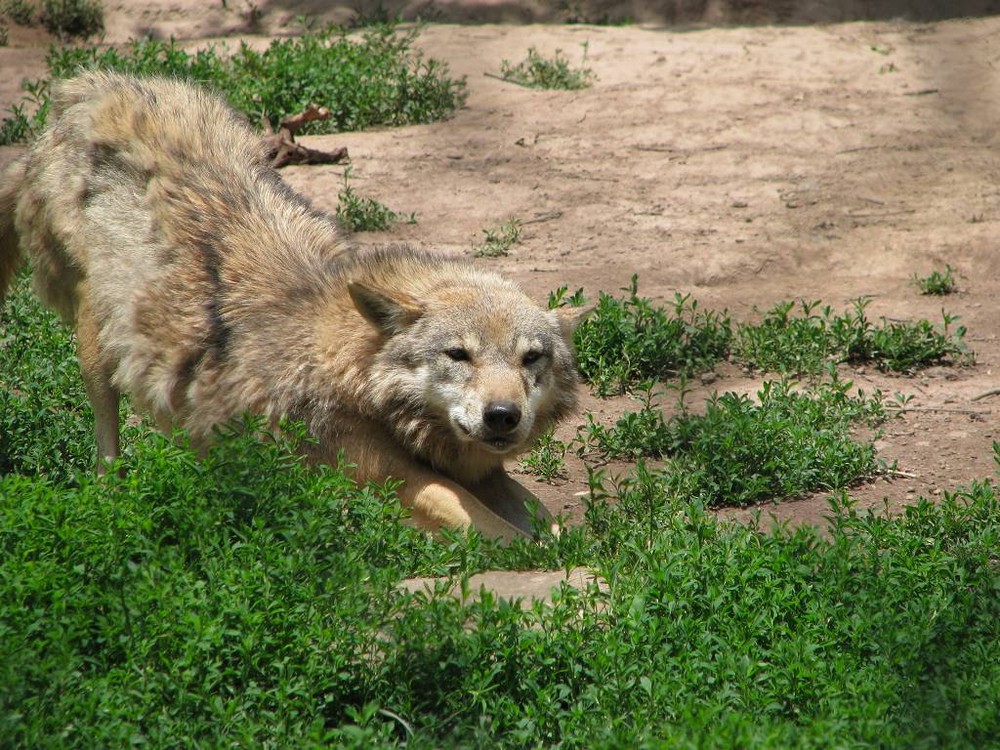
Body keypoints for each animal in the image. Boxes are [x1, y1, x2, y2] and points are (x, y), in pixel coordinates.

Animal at [0, 72, 584, 540]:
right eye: (458, 354)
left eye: (531, 358)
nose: (503, 416)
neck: (356, 374)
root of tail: (87, 90)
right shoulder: (394, 476)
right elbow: (505, 536)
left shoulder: (484, 472)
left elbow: (550, 521)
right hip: (97, 351)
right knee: (107, 446)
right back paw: (115, 498)